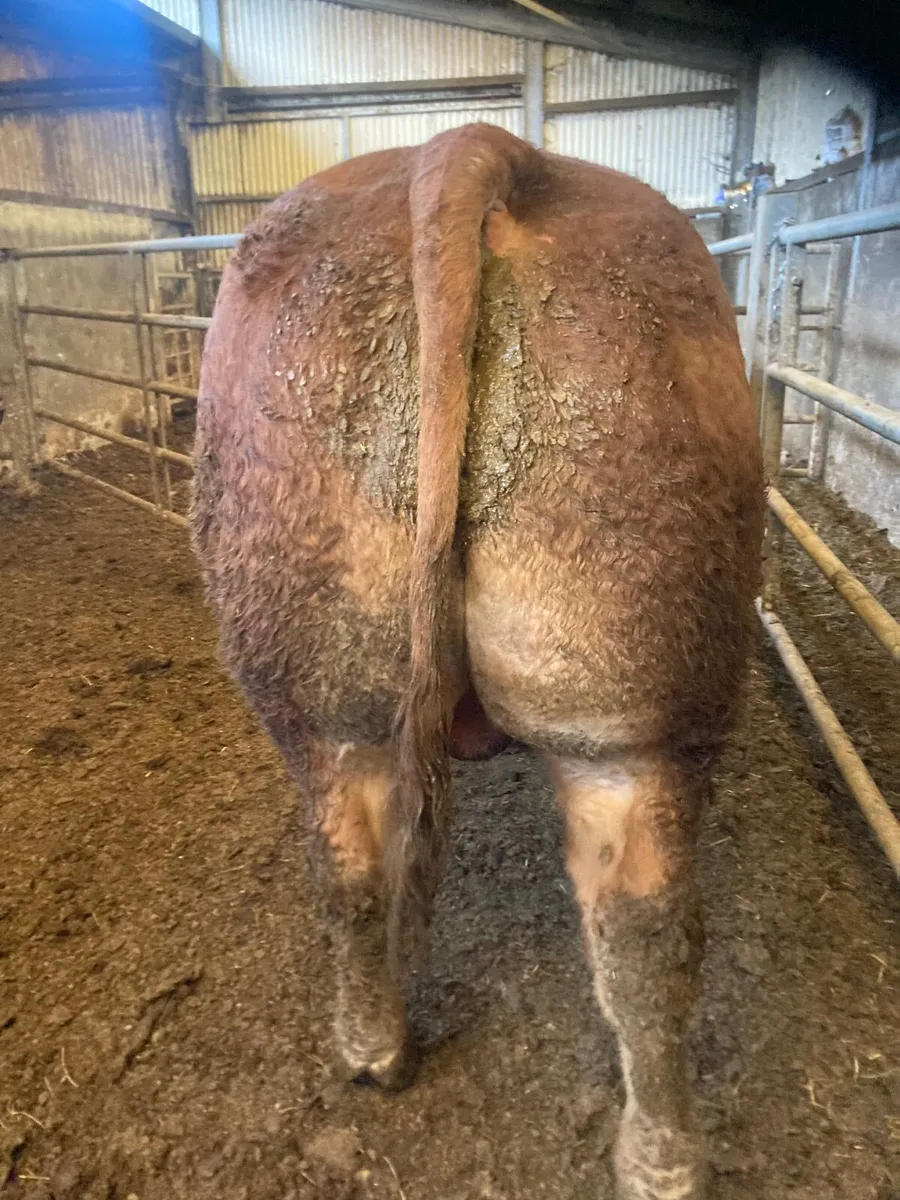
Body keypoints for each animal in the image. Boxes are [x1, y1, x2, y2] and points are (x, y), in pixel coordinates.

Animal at [191, 123, 764, 1200]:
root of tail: (471, 146)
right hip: (638, 723)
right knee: (649, 927)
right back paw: (663, 1156)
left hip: (324, 679)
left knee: (354, 867)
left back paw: (376, 1051)